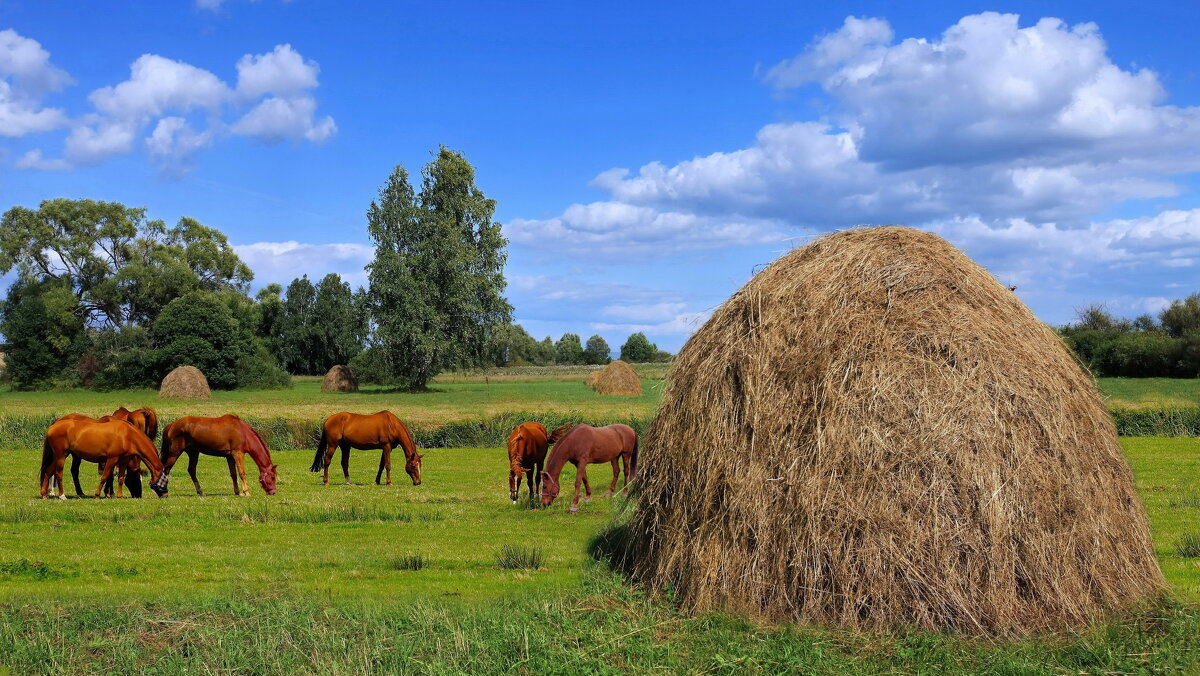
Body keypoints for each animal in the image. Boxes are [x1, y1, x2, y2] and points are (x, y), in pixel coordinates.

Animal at [40, 417, 169, 497]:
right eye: (164, 481)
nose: (166, 495)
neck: (128, 435)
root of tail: (53, 426)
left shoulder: (123, 461)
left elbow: (120, 478)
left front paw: (119, 496)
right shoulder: (112, 459)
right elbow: (105, 476)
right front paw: (99, 495)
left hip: (58, 456)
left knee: (48, 472)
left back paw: (44, 494)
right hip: (61, 456)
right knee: (58, 473)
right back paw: (62, 496)